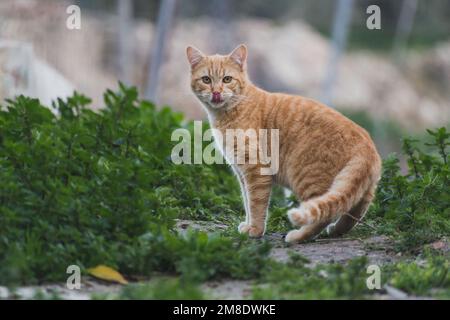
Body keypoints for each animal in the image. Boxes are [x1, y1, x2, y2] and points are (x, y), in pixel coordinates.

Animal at [185, 43, 380, 242]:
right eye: (206, 79)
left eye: (227, 79)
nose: (216, 92)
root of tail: (367, 144)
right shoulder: (241, 174)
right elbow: (247, 202)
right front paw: (248, 225)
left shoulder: (256, 171)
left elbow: (256, 205)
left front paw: (255, 230)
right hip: (359, 190)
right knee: (353, 211)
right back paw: (335, 231)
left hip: (307, 178)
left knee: (323, 216)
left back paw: (298, 235)